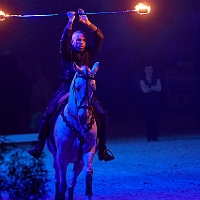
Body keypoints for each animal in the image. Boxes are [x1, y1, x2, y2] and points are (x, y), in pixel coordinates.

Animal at [47, 61, 100, 199]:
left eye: (94, 88)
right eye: (77, 87)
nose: (84, 116)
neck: (77, 124)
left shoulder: (88, 151)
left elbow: (88, 174)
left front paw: (88, 192)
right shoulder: (61, 156)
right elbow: (62, 185)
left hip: (78, 161)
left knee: (72, 182)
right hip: (55, 157)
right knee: (58, 178)